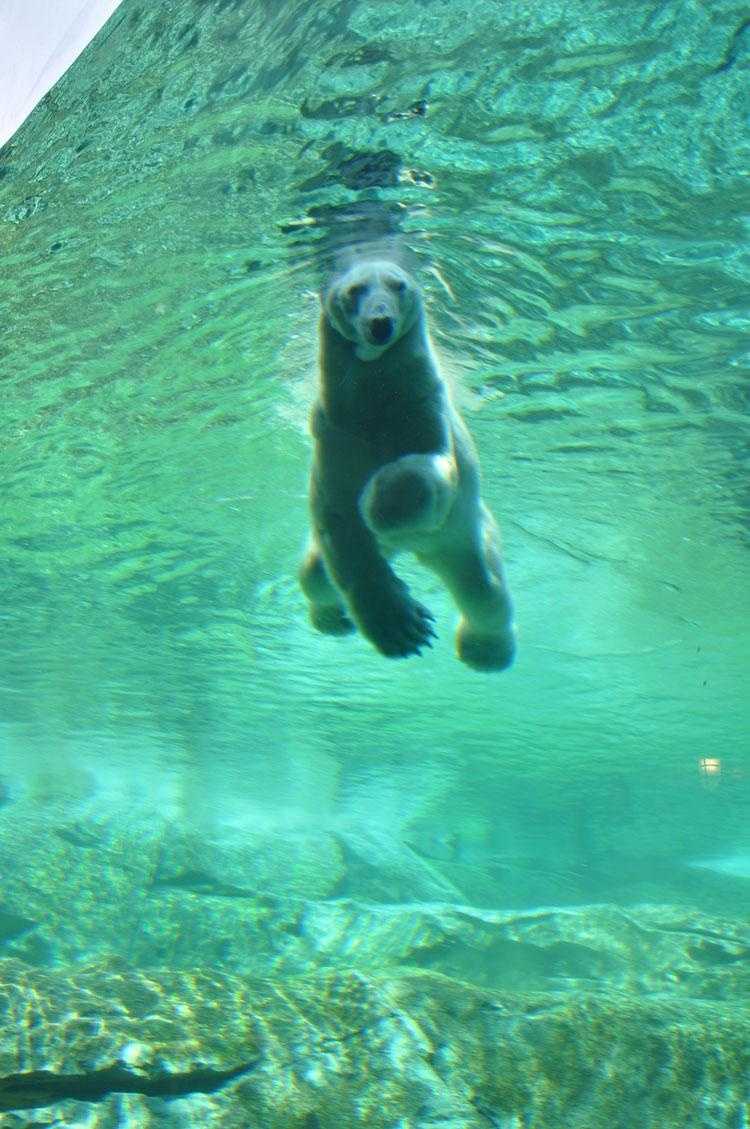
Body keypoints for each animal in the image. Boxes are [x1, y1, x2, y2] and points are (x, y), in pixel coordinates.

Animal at [299, 255, 516, 672]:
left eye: (397, 284)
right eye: (355, 290)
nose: (380, 323)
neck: (375, 403)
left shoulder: (422, 406)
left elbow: (428, 473)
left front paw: (378, 504)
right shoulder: (335, 432)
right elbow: (339, 519)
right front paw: (400, 628)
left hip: (460, 539)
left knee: (484, 591)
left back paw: (486, 650)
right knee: (314, 573)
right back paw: (332, 618)